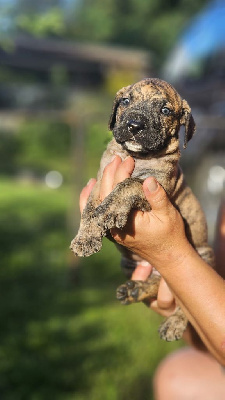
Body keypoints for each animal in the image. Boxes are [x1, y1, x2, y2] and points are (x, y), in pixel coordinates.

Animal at [79, 155, 225, 366]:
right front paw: (84, 238)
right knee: (156, 282)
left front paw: (112, 208)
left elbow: (129, 185)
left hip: (204, 258)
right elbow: (89, 211)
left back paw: (173, 322)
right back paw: (135, 289)